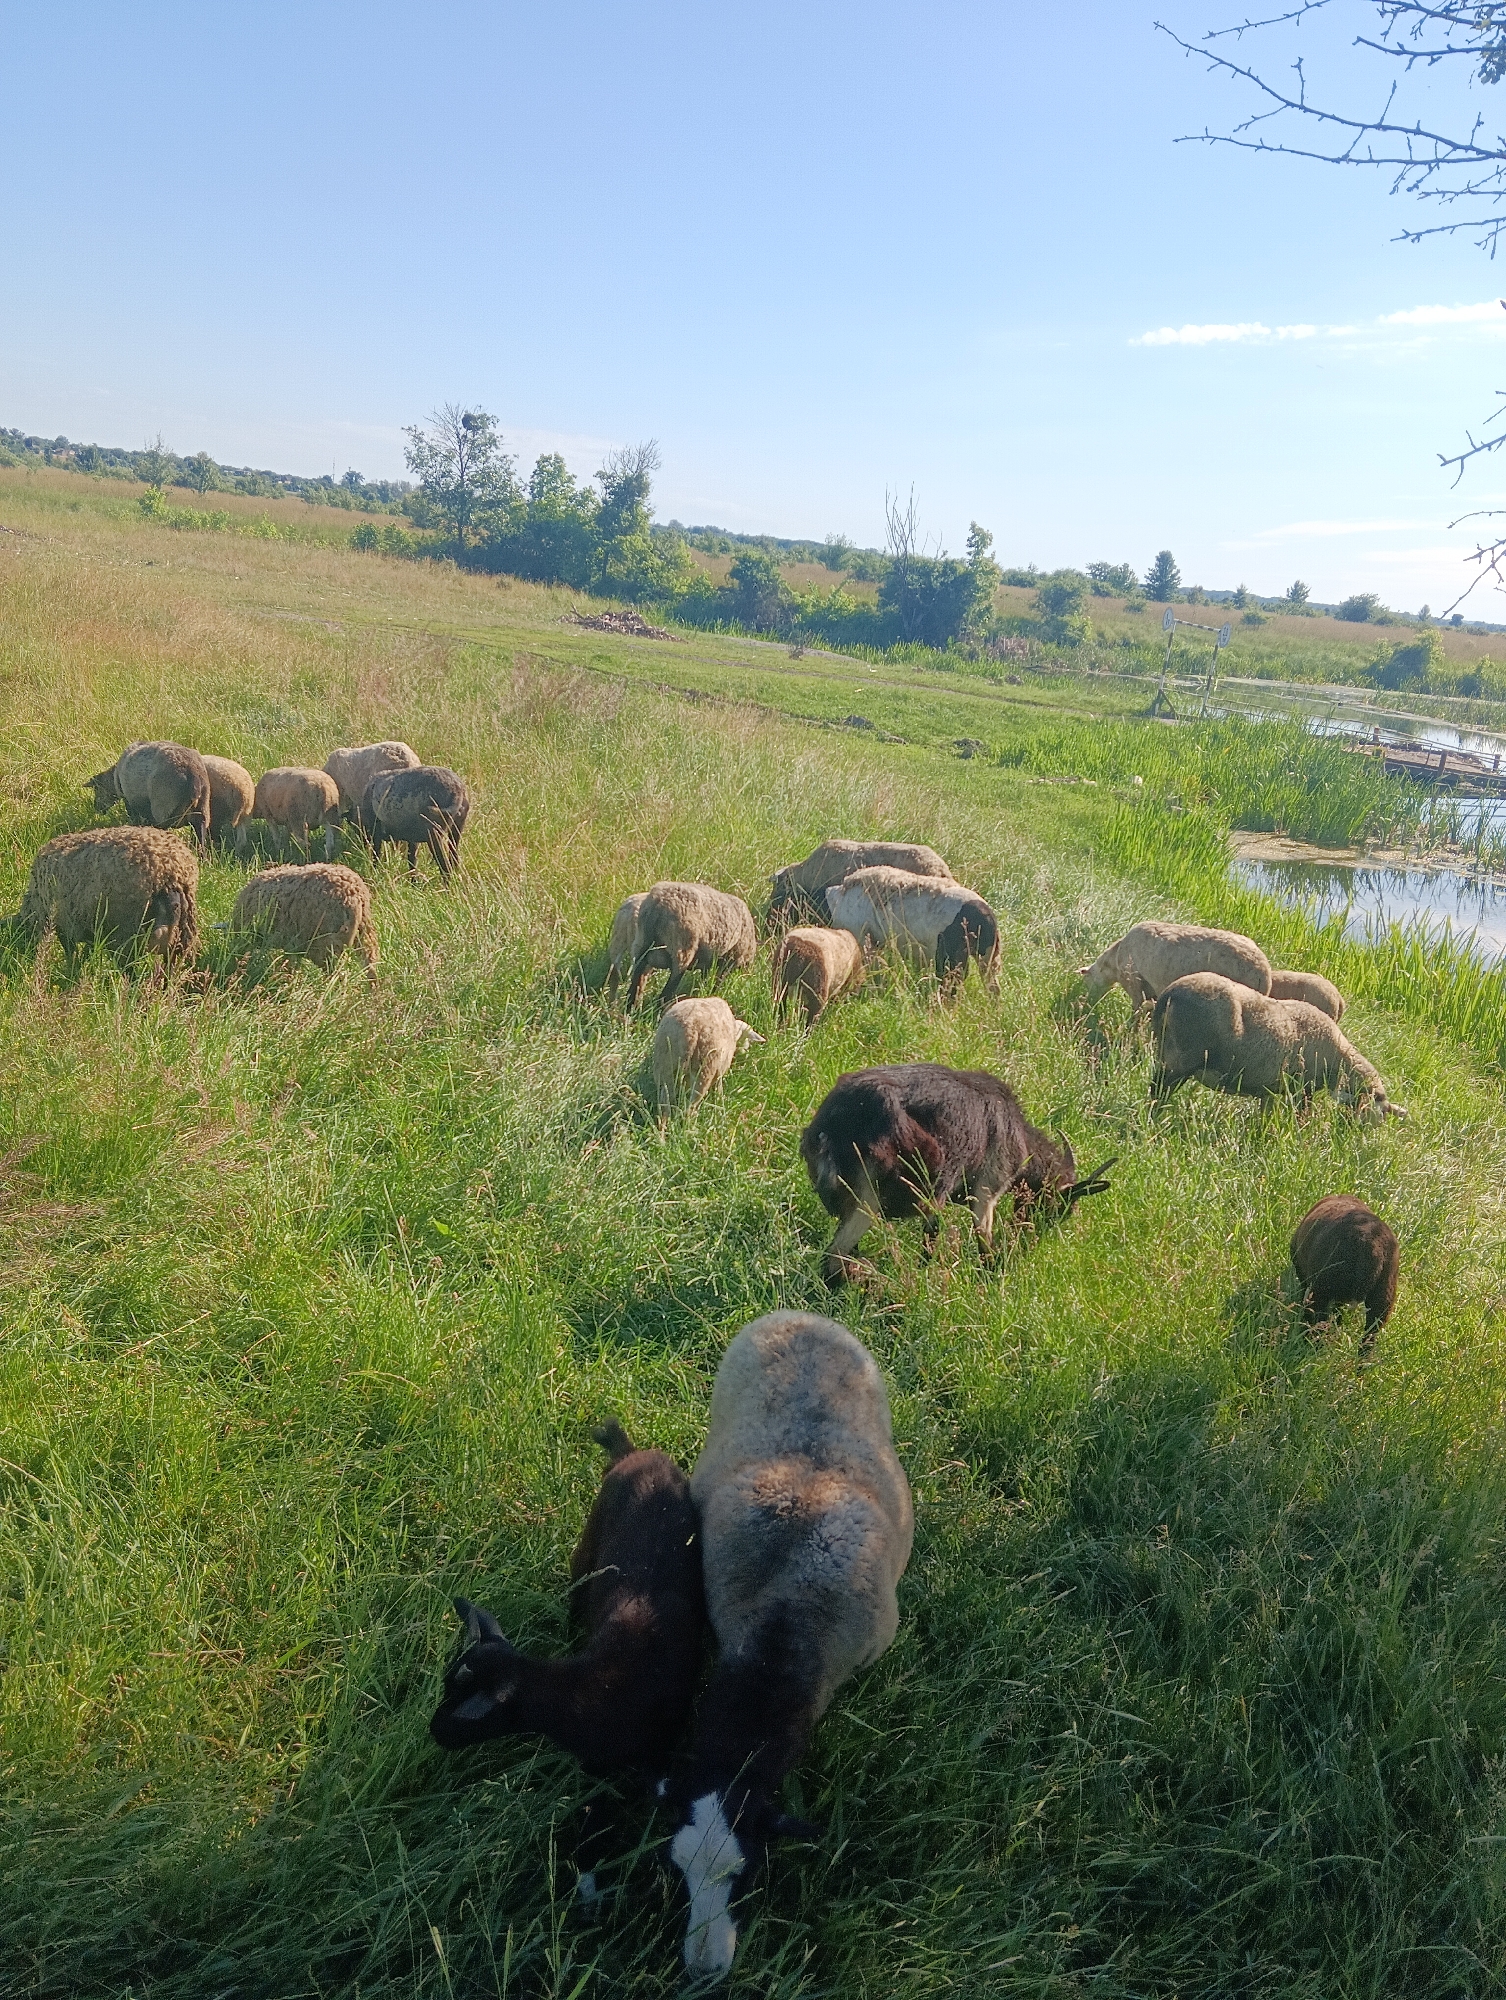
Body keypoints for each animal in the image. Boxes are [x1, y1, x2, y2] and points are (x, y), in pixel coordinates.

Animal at [625, 882, 757, 1010]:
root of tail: (659, 901)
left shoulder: (708, 963)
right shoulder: (728, 961)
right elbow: (717, 981)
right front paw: (711, 993)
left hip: (641, 945)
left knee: (635, 985)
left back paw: (631, 1010)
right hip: (681, 948)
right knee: (667, 991)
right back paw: (660, 1010)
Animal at [800, 1063, 1113, 1282]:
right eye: (1061, 1208)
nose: (1031, 1241)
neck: (1019, 1136)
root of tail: (832, 1123)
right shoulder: (985, 1190)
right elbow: (975, 1239)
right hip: (870, 1195)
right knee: (834, 1256)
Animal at [824, 866, 1000, 994]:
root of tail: (985, 916)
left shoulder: (864, 940)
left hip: (949, 956)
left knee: (953, 983)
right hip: (988, 955)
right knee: (992, 986)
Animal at [1150, 972, 1404, 1120]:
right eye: (1380, 1113)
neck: (1335, 1056)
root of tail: (1169, 996)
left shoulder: (1269, 1090)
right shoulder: (1303, 1088)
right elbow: (1302, 1115)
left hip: (1165, 1052)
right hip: (1181, 1060)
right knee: (1158, 1091)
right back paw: (1156, 1118)